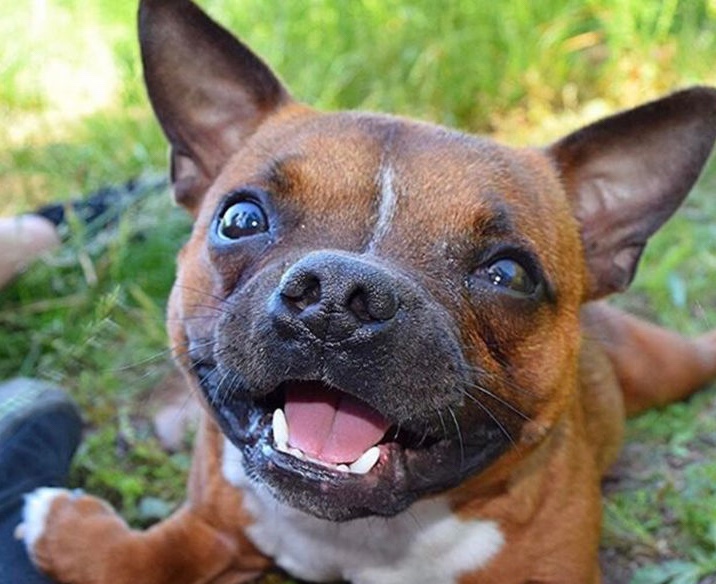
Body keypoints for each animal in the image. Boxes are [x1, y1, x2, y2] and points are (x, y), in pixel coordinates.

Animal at [19, 1, 716, 584]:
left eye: (510, 275)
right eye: (240, 219)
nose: (339, 296)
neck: (365, 535)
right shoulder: (219, 526)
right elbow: (147, 556)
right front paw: (74, 534)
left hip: (662, 364)